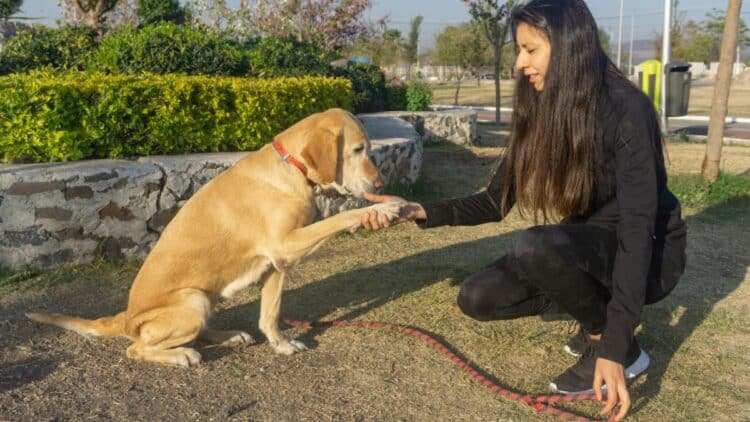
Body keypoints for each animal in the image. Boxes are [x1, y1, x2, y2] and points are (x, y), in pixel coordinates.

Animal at [27, 108, 406, 366]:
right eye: (358, 150)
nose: (381, 184)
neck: (291, 168)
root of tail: (126, 316)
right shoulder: (286, 245)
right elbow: (340, 216)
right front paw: (385, 208)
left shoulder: (276, 264)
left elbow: (270, 315)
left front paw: (281, 345)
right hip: (192, 301)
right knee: (137, 348)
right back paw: (182, 355)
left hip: (205, 299)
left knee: (200, 330)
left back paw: (229, 335)